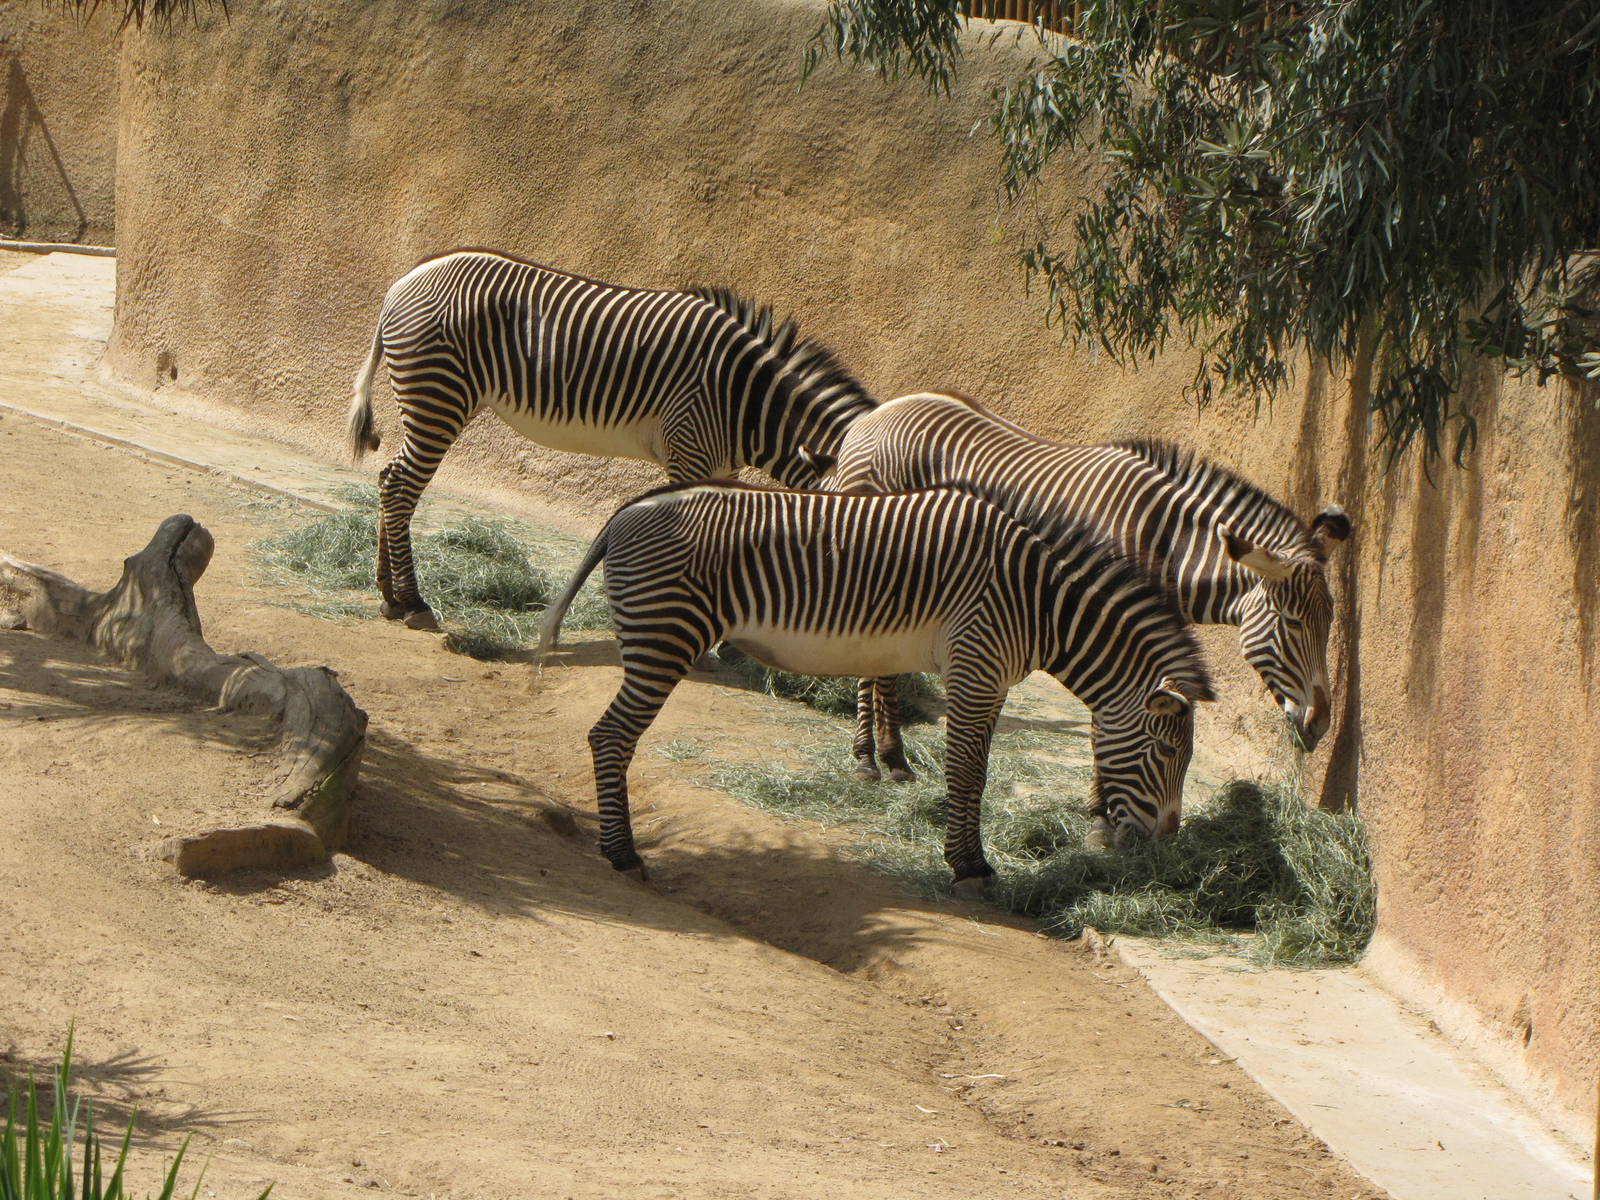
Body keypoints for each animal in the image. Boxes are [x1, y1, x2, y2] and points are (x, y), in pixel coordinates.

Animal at [346, 249, 876, 629]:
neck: (748, 397)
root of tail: (405, 279)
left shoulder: (720, 466)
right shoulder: (689, 447)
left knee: (391, 481)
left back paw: (389, 597)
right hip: (439, 395)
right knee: (401, 486)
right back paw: (413, 602)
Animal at [537, 481, 1215, 886]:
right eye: (1165, 752)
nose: (1166, 845)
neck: (1041, 599)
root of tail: (627, 510)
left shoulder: (991, 679)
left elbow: (974, 771)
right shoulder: (975, 665)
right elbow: (969, 774)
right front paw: (969, 866)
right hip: (665, 637)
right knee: (610, 737)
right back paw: (622, 853)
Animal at [829, 392, 1351, 793]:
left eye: (1329, 625)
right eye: (1292, 623)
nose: (1321, 726)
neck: (1166, 543)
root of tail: (876, 414)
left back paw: (894, 758)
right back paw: (869, 759)